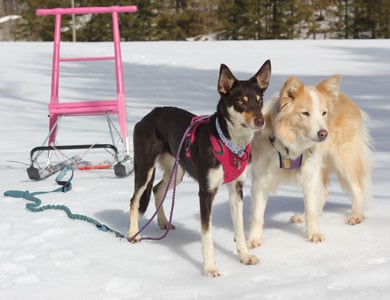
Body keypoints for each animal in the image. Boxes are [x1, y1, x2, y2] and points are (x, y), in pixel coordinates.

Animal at [127, 60, 272, 276]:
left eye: (260, 100)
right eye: (241, 101)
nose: (260, 121)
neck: (229, 142)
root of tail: (150, 114)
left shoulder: (236, 190)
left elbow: (239, 229)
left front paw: (244, 256)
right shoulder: (206, 192)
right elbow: (207, 235)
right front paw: (210, 267)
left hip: (176, 172)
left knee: (157, 189)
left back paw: (163, 222)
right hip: (145, 169)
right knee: (135, 199)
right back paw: (133, 233)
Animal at [247, 74, 372, 247]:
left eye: (324, 113)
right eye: (305, 113)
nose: (323, 134)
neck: (288, 145)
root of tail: (346, 98)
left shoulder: (309, 173)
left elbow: (311, 212)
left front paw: (314, 234)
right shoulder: (261, 180)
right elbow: (257, 215)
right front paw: (253, 240)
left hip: (345, 159)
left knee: (357, 188)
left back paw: (356, 215)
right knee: (324, 192)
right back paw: (301, 215)